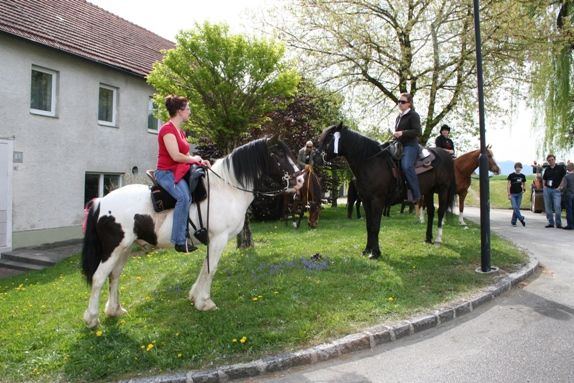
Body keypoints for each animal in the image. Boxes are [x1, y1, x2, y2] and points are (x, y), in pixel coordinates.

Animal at [82, 136, 306, 328]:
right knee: (99, 277)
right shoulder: (219, 238)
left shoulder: (213, 240)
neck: (226, 189)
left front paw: (195, 296)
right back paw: (92, 318)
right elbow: (211, 268)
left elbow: (205, 266)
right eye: (277, 154)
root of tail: (101, 201)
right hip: (113, 248)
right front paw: (205, 302)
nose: (300, 181)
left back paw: (115, 310)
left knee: (114, 275)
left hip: (125, 248)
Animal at [318, 124, 456, 260]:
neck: (371, 162)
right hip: (429, 191)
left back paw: (438, 240)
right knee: (431, 211)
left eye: (328, 138)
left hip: (443, 189)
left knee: (440, 212)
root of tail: (446, 156)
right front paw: (367, 250)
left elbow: (375, 226)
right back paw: (428, 238)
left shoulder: (377, 200)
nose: (316, 158)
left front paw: (375, 253)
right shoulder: (366, 200)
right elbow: (369, 225)